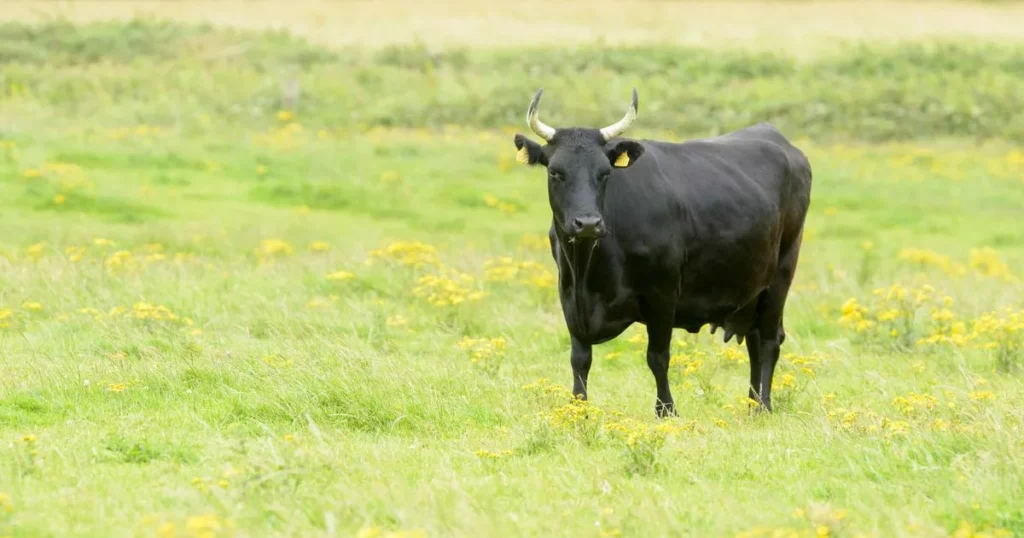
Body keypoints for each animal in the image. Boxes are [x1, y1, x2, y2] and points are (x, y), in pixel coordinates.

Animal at [516, 88, 811, 416]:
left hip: (781, 274)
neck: (588, 270)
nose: (588, 223)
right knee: (754, 340)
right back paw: (752, 403)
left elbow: (657, 357)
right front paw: (578, 408)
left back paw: (763, 406)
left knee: (769, 341)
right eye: (556, 172)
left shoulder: (662, 293)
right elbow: (580, 359)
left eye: (604, 173)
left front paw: (666, 410)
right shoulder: (569, 295)